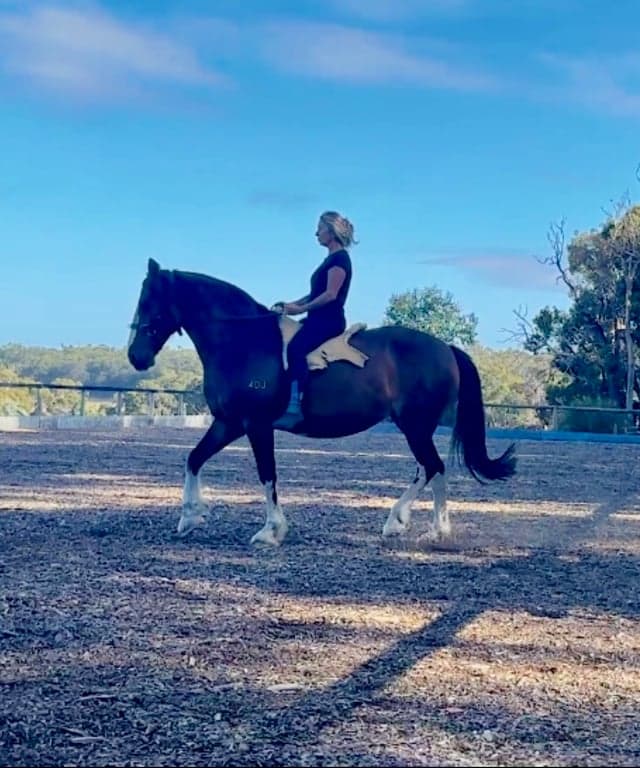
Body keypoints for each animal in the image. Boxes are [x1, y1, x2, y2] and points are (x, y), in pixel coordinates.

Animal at [127, 258, 516, 546]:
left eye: (148, 302)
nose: (136, 357)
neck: (242, 340)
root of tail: (445, 348)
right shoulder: (229, 422)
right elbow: (194, 458)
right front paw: (190, 517)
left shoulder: (255, 424)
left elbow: (267, 473)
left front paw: (271, 531)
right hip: (415, 426)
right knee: (429, 468)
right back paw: (416, 525)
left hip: (415, 425)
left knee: (433, 466)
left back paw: (419, 527)